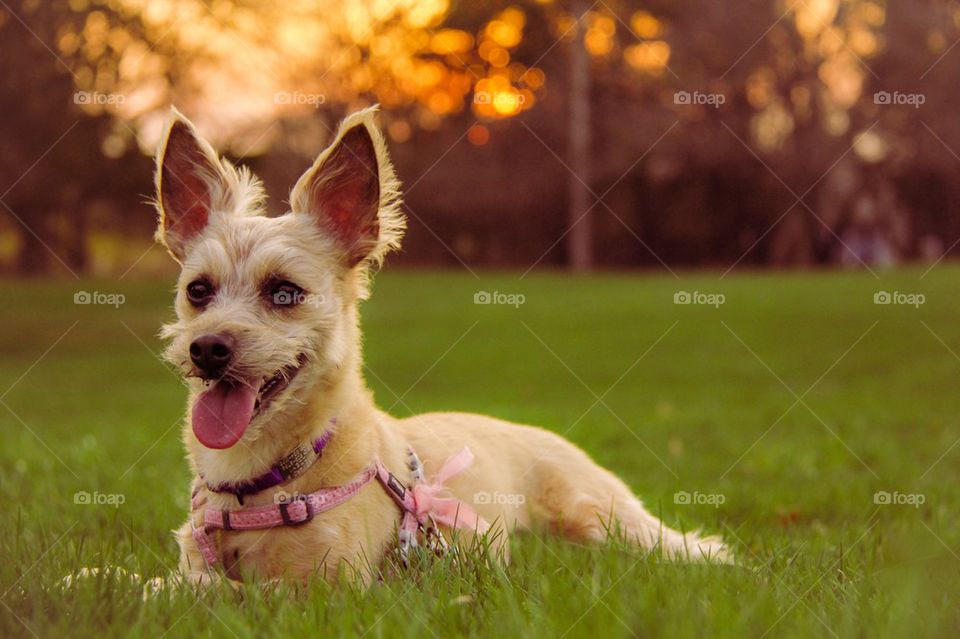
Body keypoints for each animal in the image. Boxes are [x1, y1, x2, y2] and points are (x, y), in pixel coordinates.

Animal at [154, 107, 732, 588]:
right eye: (197, 291)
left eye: (285, 293)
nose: (206, 348)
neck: (256, 481)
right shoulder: (198, 558)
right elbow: (171, 582)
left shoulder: (325, 587)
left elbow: (224, 593)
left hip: (605, 520)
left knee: (689, 547)